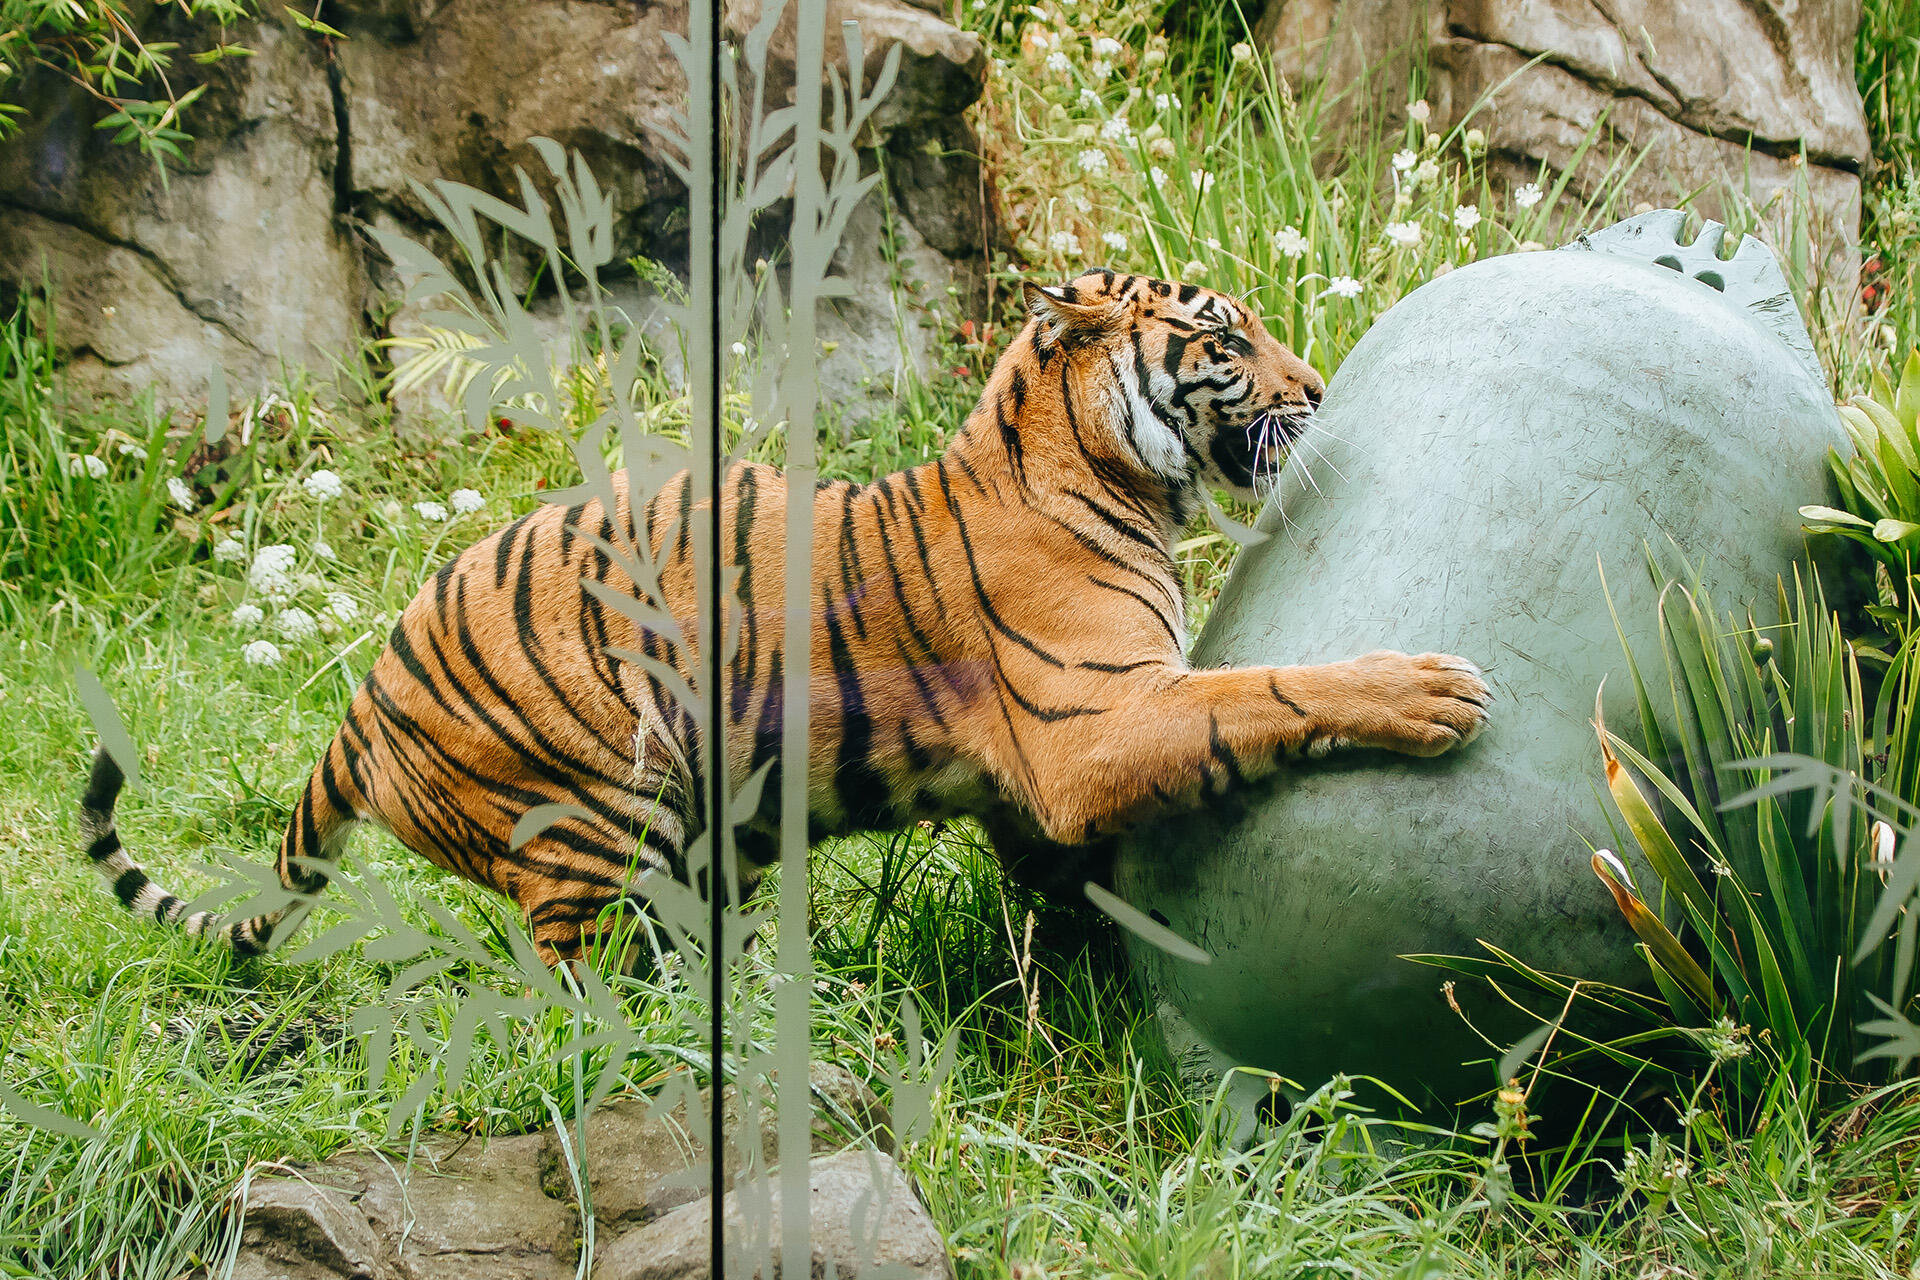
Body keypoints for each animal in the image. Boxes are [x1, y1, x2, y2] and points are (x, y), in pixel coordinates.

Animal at [78, 268, 1491, 968]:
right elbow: (1263, 689)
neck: (1090, 461)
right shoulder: (1091, 722)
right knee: (575, 978)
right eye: (1226, 341)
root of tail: (364, 699)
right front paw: (1431, 690)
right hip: (602, 806)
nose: (1318, 386)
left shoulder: (1036, 780)